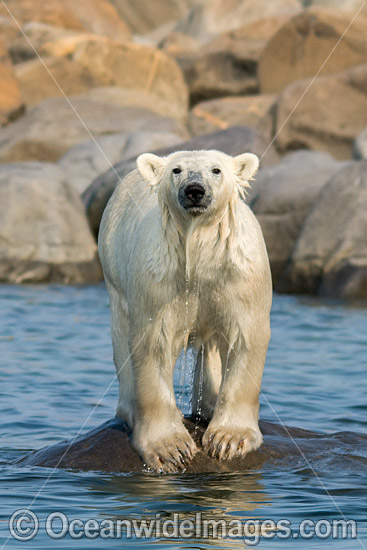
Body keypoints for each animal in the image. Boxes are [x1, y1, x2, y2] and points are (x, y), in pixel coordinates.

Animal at [98, 150, 274, 474]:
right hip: (114, 269)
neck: (199, 251)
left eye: (216, 170)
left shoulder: (239, 274)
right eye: (176, 170)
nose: (194, 190)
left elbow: (246, 337)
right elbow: (153, 343)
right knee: (121, 333)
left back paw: (209, 405)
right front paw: (171, 448)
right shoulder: (160, 279)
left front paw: (229, 439)